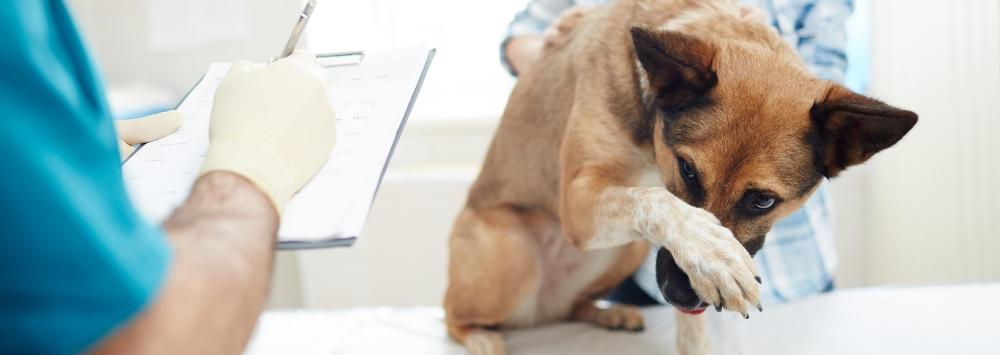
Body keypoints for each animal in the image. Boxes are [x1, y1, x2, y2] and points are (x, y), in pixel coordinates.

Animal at [448, 0, 920, 355]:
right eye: (687, 170)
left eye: (763, 201)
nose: (680, 296)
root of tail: (539, 310)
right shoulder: (578, 204)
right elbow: (654, 200)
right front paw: (713, 254)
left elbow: (693, 330)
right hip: (512, 249)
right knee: (453, 315)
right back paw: (482, 337)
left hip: (626, 250)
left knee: (569, 308)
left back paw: (604, 312)